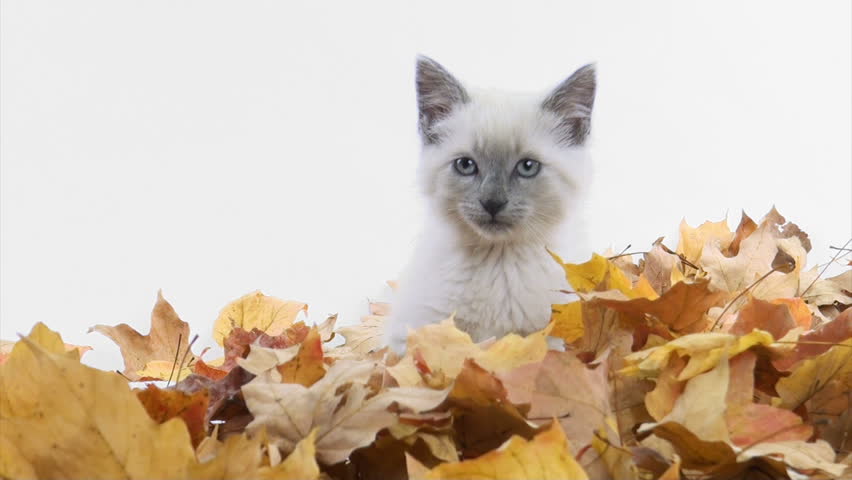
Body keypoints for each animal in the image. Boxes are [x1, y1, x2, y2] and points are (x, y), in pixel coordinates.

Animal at [382, 57, 596, 352]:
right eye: (465, 165)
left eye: (527, 167)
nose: (492, 203)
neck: (499, 261)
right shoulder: (410, 333)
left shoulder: (555, 339)